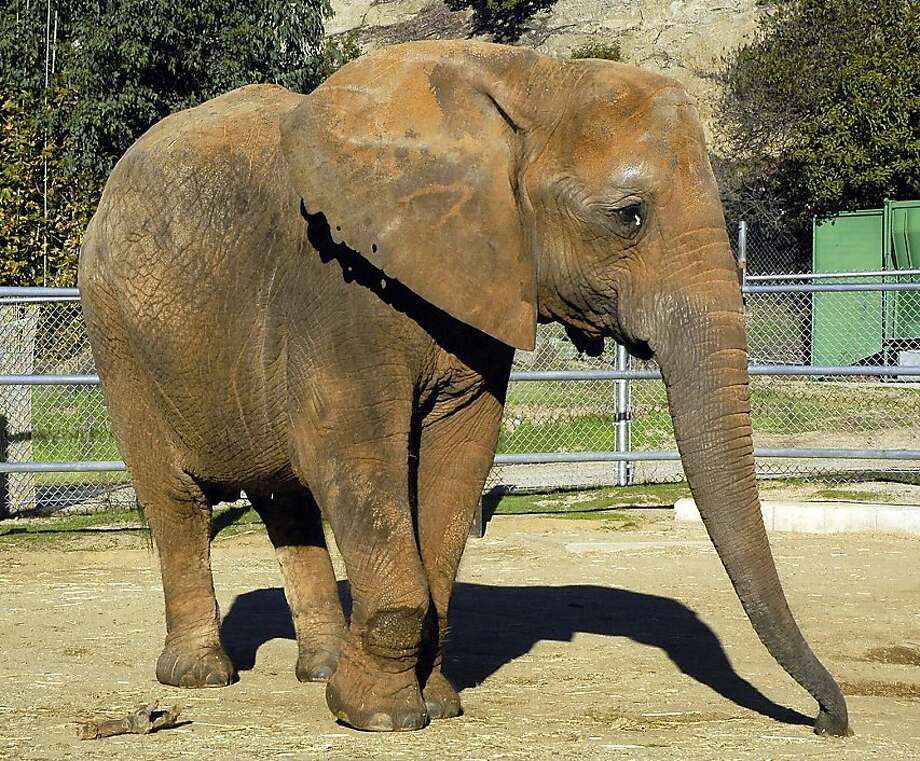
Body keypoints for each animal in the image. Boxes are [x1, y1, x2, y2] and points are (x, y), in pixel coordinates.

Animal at [78, 40, 850, 735]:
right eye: (628, 216)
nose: (825, 721)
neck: (528, 79)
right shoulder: (337, 289)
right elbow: (353, 457)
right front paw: (380, 717)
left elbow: (459, 460)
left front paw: (434, 703)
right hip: (117, 333)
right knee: (176, 498)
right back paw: (200, 677)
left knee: (284, 498)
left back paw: (320, 667)